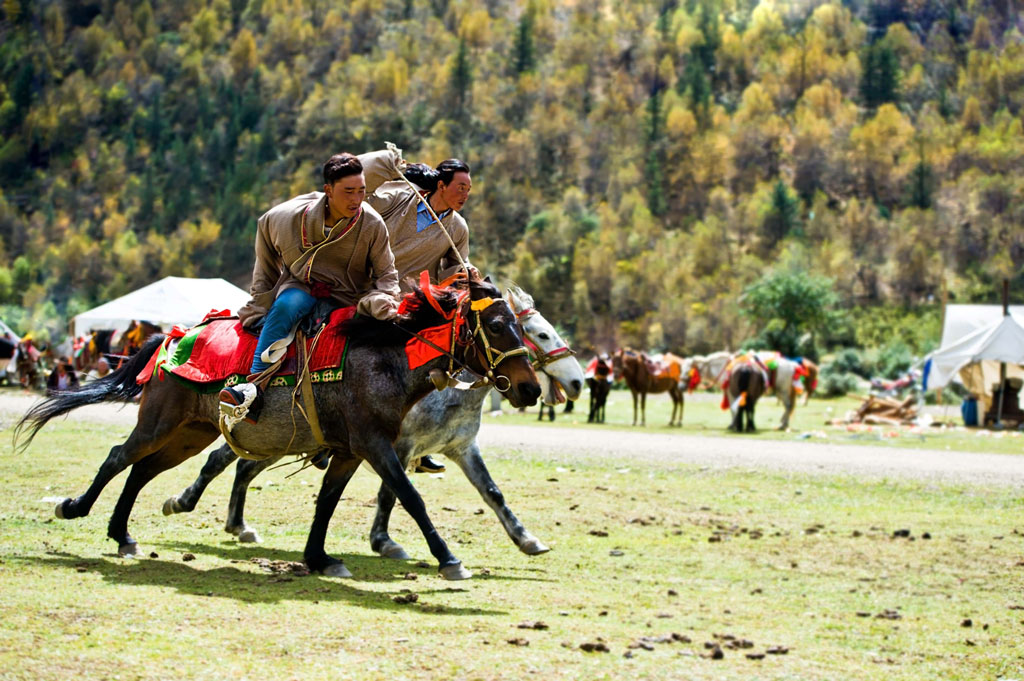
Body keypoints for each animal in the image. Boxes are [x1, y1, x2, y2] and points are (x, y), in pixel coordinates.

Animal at [167, 284, 585, 561]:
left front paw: (526, 539)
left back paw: (236, 523)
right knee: (222, 461)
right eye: (541, 334)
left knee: (243, 467)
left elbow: (492, 493)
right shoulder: (394, 446)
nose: (577, 382)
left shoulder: (461, 448)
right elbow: (392, 493)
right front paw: (384, 541)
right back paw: (188, 502)